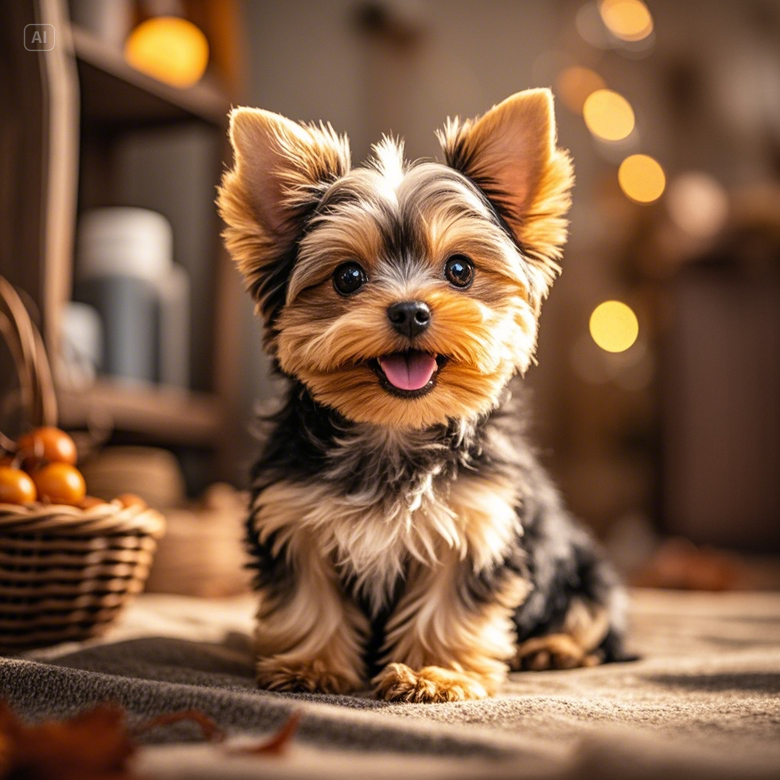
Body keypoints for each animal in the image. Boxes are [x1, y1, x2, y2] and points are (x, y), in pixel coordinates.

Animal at [218, 90, 628, 700]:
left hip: (583, 567)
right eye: (347, 277)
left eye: (459, 269)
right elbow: (309, 597)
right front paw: (311, 665)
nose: (411, 310)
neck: (395, 429)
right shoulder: (293, 516)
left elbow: (448, 606)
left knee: (594, 620)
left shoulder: (478, 523)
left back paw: (554, 649)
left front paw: (435, 673)